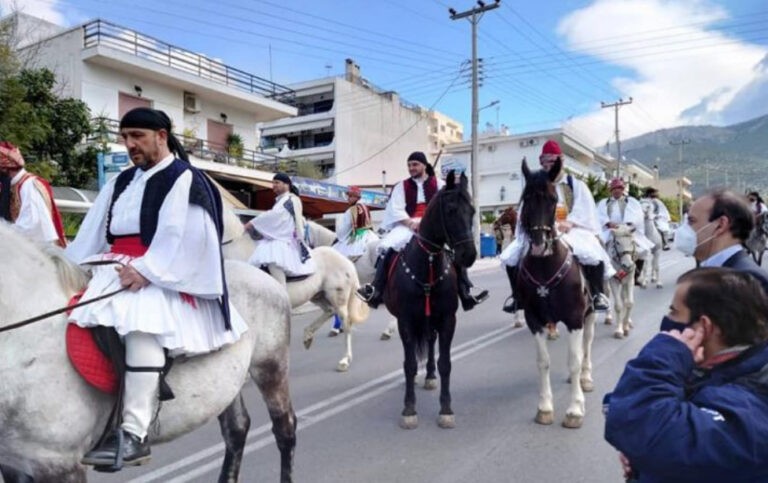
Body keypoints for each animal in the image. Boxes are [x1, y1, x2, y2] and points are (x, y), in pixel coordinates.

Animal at [222, 210, 368, 372]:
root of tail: (346, 261)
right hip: (318, 296)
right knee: (329, 311)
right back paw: (308, 336)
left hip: (338, 297)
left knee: (346, 323)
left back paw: (344, 360)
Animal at [380, 171, 474, 432]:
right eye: (451, 210)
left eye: (473, 211)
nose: (470, 255)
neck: (428, 262)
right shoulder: (406, 321)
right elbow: (410, 364)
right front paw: (409, 409)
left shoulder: (447, 320)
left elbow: (445, 363)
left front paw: (446, 409)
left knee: (431, 344)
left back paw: (430, 375)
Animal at [512, 159, 596, 432]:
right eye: (526, 198)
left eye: (552, 199)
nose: (539, 244)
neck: (546, 266)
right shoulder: (535, 320)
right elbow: (543, 361)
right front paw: (545, 407)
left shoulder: (575, 318)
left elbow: (575, 359)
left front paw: (575, 409)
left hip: (590, 315)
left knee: (586, 346)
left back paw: (585, 378)